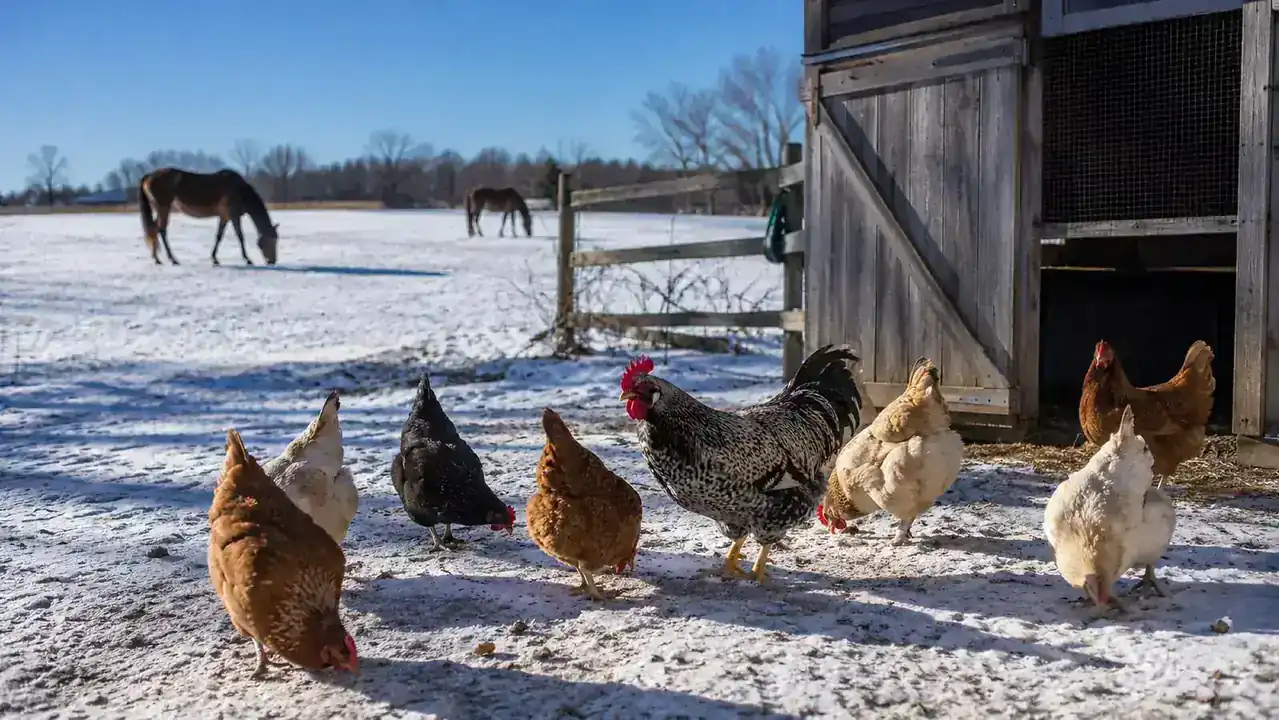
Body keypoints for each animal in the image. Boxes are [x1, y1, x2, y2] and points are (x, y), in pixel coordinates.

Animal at [138, 167, 280, 266]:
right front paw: (248, 259)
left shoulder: (225, 217)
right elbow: (240, 236)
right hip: (164, 208)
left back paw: (157, 258)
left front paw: (214, 258)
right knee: (161, 230)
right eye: (272, 240)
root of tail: (149, 176)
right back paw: (172, 259)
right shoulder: (233, 215)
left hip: (161, 209)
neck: (240, 190)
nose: (272, 261)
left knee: (153, 229)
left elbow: (219, 236)